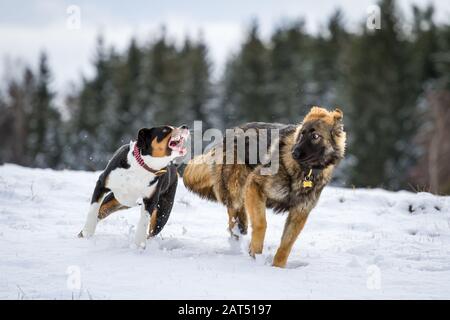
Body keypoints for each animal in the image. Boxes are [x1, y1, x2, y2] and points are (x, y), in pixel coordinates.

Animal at [182, 107, 344, 268]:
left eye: (315, 136)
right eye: (302, 134)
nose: (294, 152)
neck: (304, 171)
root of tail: (229, 133)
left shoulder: (299, 212)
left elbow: (286, 245)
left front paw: (277, 267)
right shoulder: (255, 185)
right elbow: (261, 224)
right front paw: (256, 253)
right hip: (237, 187)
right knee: (234, 216)